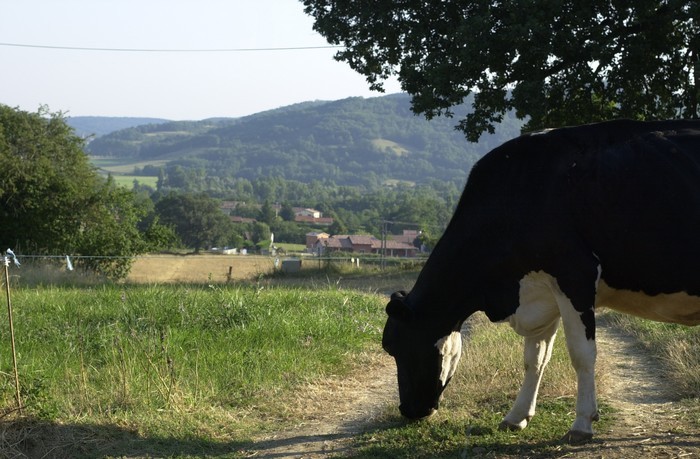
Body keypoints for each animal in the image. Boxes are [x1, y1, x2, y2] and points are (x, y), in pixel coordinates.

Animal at [382, 119, 700, 443]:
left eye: (394, 346)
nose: (408, 410)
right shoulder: (541, 291)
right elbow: (535, 358)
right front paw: (516, 416)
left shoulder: (575, 276)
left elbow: (582, 355)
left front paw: (581, 423)